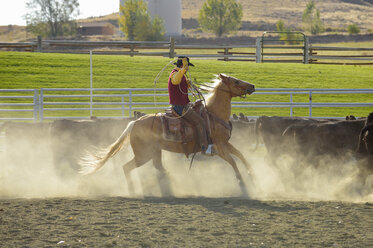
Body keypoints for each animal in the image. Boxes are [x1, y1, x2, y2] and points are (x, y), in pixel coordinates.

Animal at [79, 73, 256, 196]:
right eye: (236, 81)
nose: (252, 86)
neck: (214, 114)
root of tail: (135, 123)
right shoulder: (219, 147)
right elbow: (233, 161)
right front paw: (242, 183)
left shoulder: (226, 144)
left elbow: (241, 155)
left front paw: (252, 174)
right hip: (143, 154)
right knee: (127, 167)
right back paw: (133, 190)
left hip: (154, 152)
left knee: (157, 166)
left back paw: (168, 183)